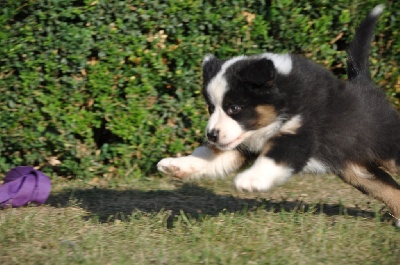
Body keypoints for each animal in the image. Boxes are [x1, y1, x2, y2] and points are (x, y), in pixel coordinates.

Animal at [157, 4, 400, 225]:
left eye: (234, 108)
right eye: (211, 108)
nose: (212, 135)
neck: (285, 98)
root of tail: (365, 86)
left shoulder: (299, 132)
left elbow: (274, 155)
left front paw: (250, 179)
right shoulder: (241, 144)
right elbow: (209, 156)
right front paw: (175, 165)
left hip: (386, 148)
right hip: (356, 170)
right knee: (388, 188)